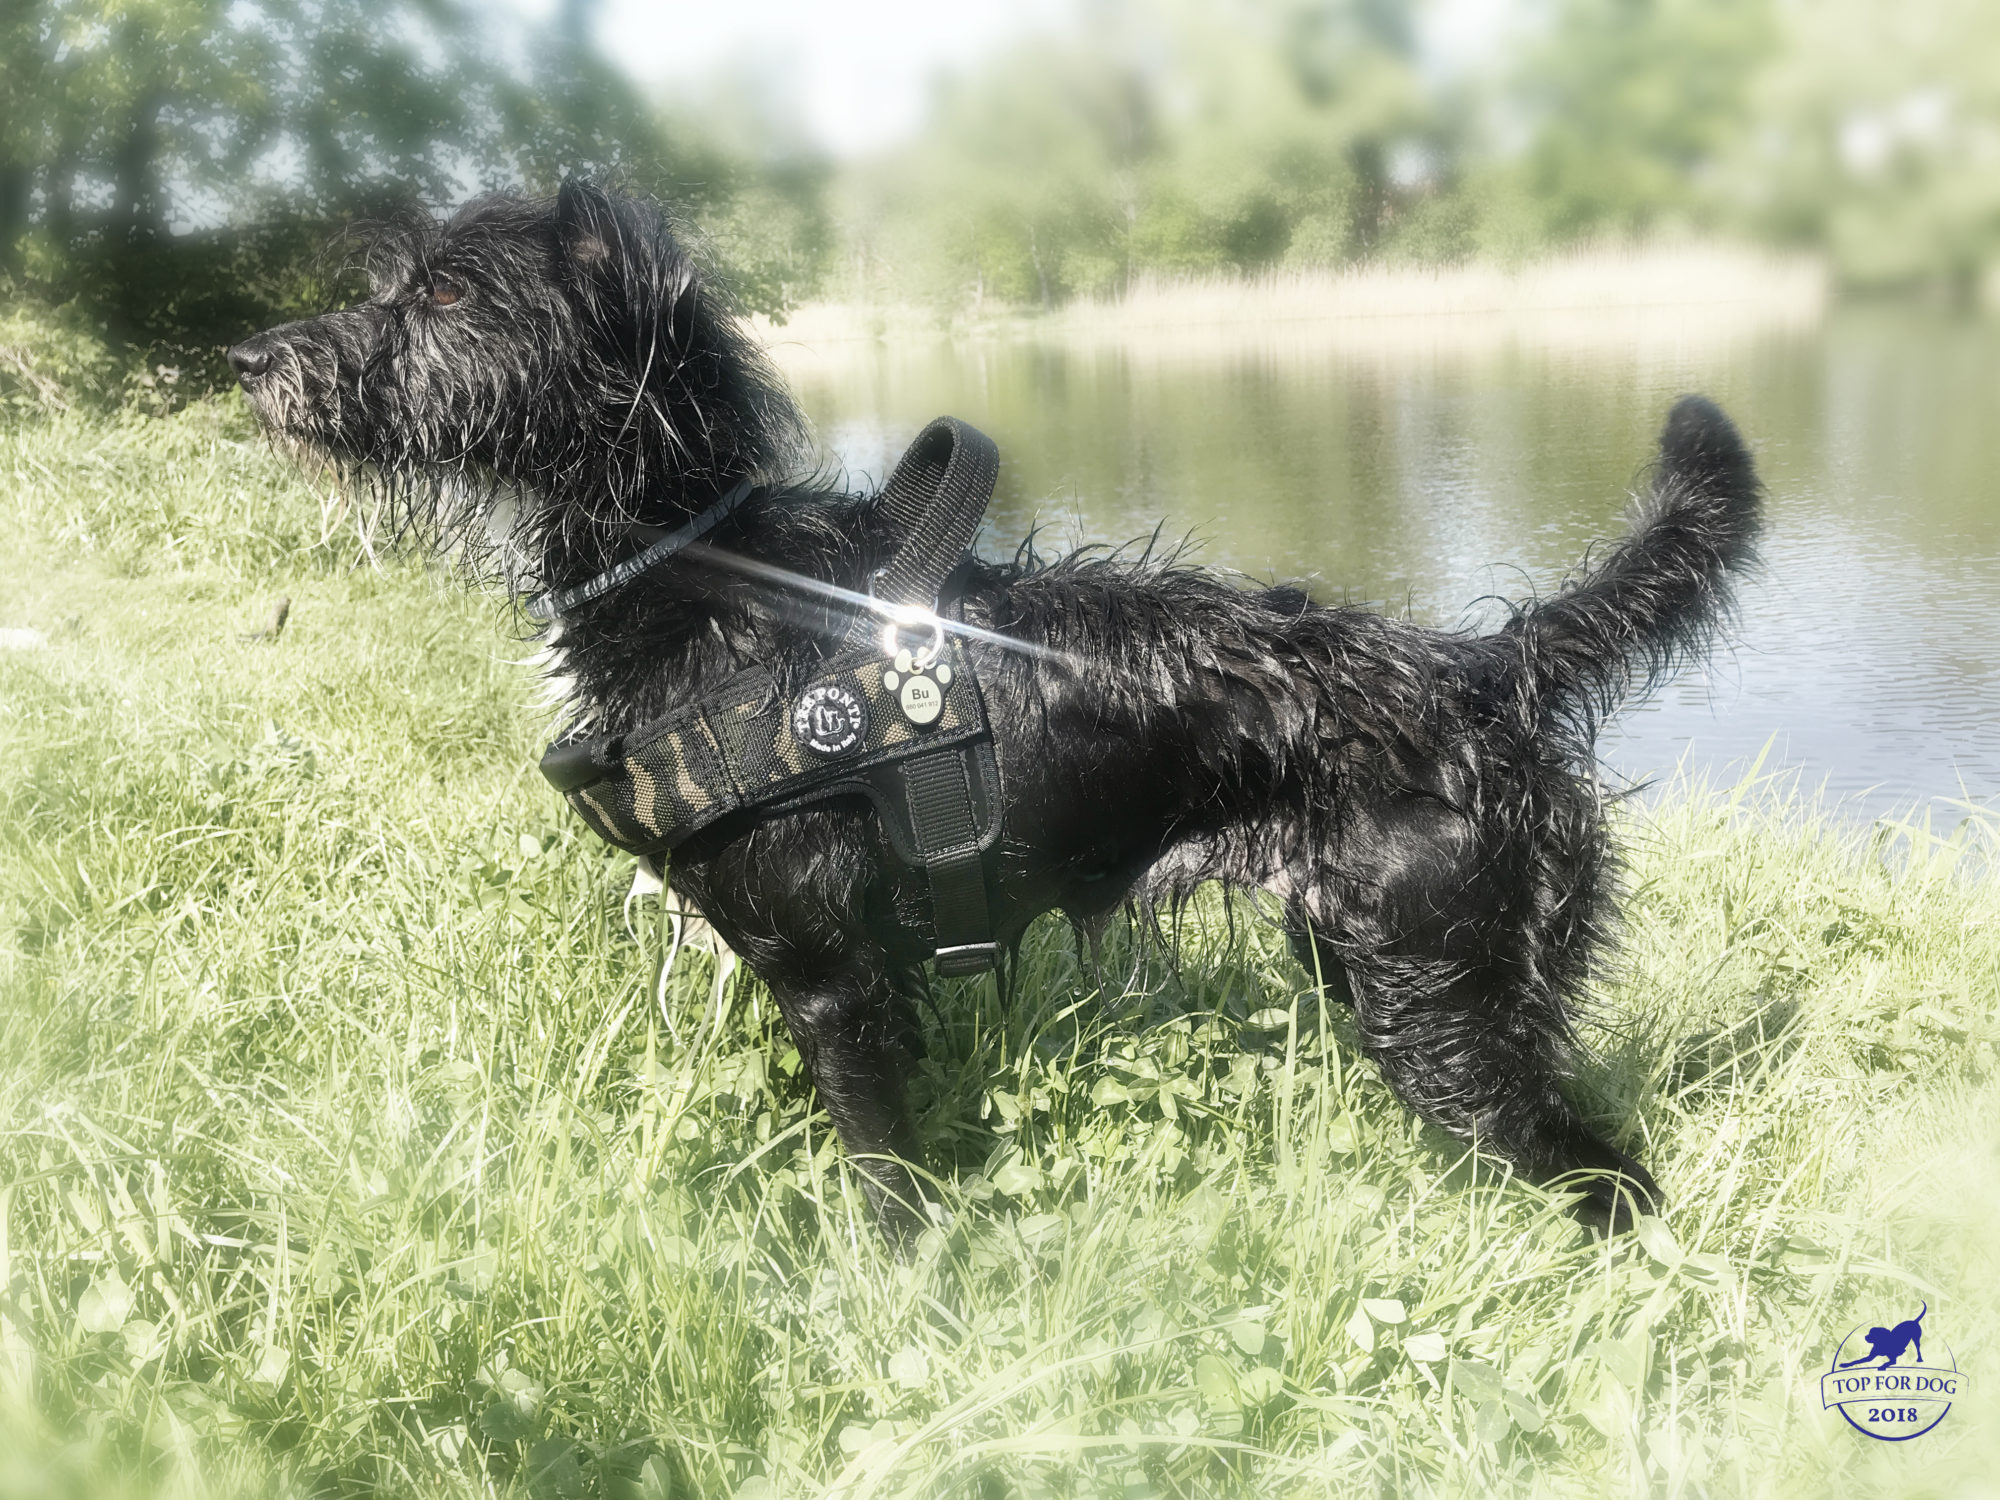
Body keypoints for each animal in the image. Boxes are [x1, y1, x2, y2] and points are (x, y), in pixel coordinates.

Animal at [229, 179, 1761, 1245]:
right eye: (397, 284)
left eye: (445, 297)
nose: (248, 360)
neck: (711, 584)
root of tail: (1473, 671)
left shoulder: (836, 981)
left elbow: (881, 1181)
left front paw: (890, 1291)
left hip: (1442, 999)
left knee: (1604, 1175)